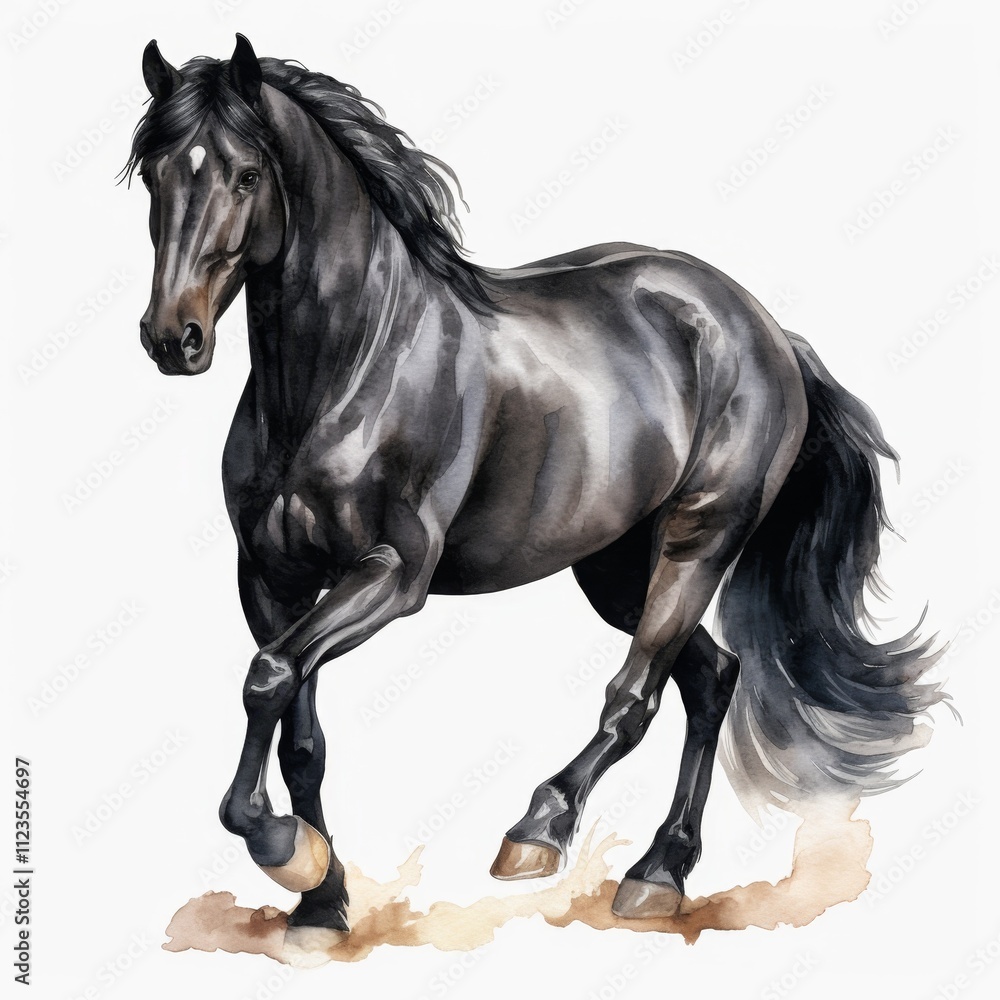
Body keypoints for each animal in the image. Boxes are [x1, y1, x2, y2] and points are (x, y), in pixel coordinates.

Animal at [127, 35, 943, 933]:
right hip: (618, 568)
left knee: (636, 694)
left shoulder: (390, 576)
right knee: (710, 678)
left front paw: (278, 845)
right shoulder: (272, 579)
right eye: (156, 174)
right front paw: (319, 900)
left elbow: (267, 677)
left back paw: (548, 835)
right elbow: (299, 732)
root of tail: (760, 327)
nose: (173, 338)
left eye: (244, 174)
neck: (348, 370)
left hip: (698, 542)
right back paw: (664, 868)